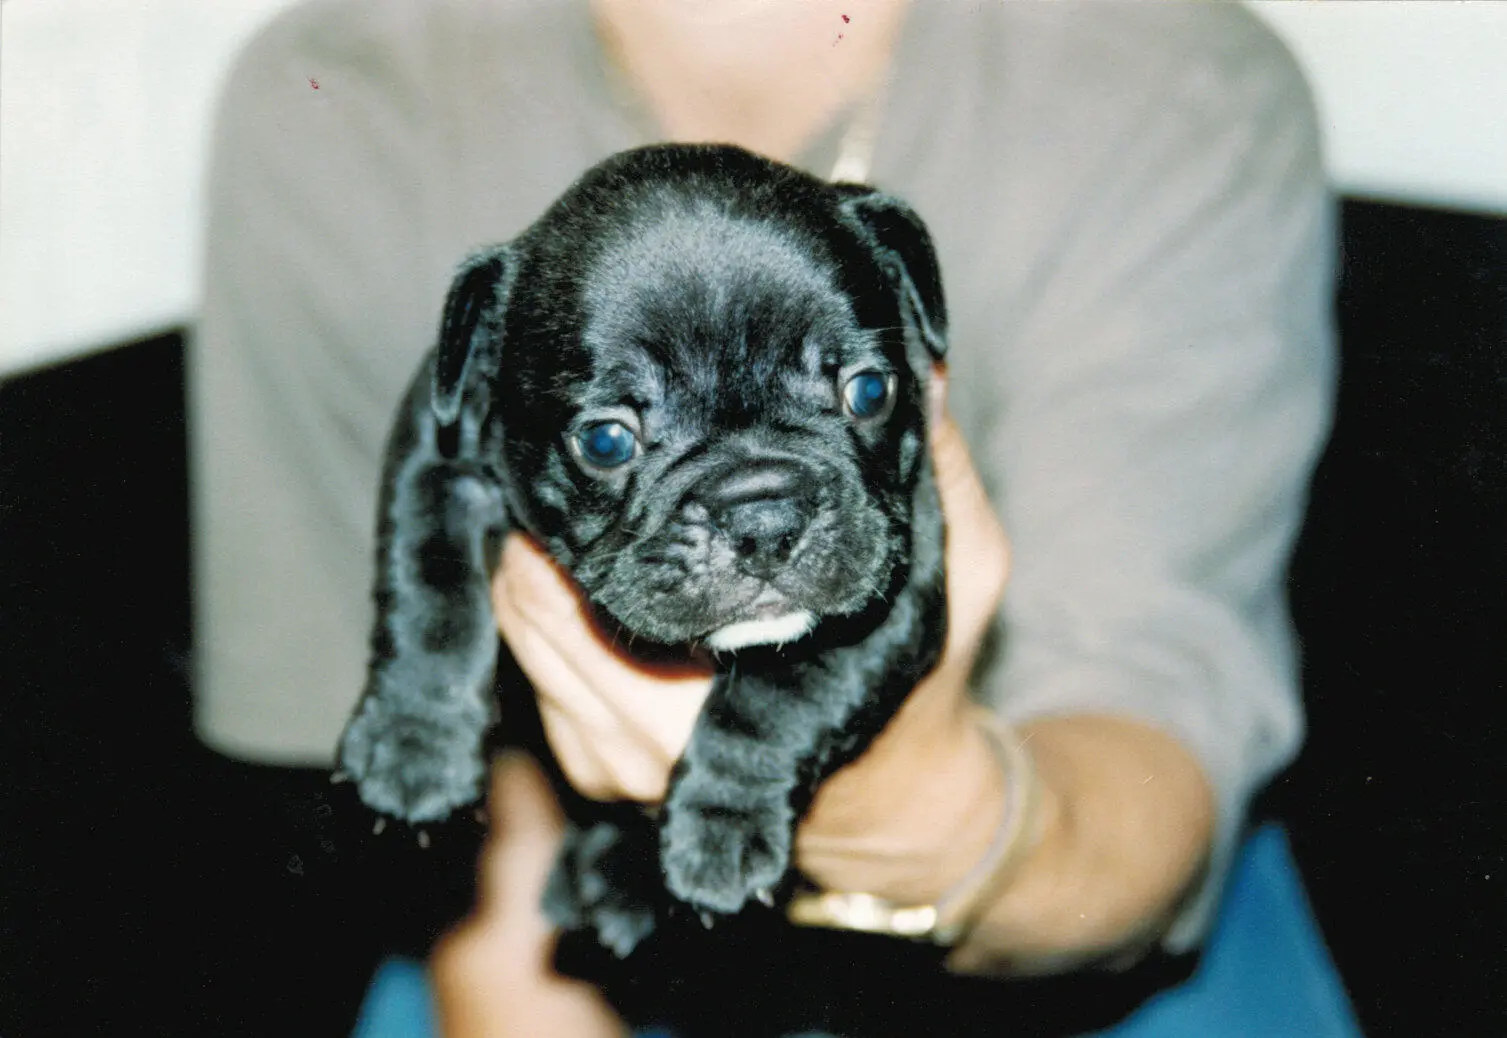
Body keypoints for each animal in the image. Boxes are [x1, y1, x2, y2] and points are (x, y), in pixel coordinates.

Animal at [337, 143, 946, 958]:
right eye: (605, 440)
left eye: (870, 390)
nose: (763, 514)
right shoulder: (438, 458)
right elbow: (430, 588)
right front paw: (413, 746)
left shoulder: (900, 577)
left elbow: (785, 693)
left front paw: (721, 830)